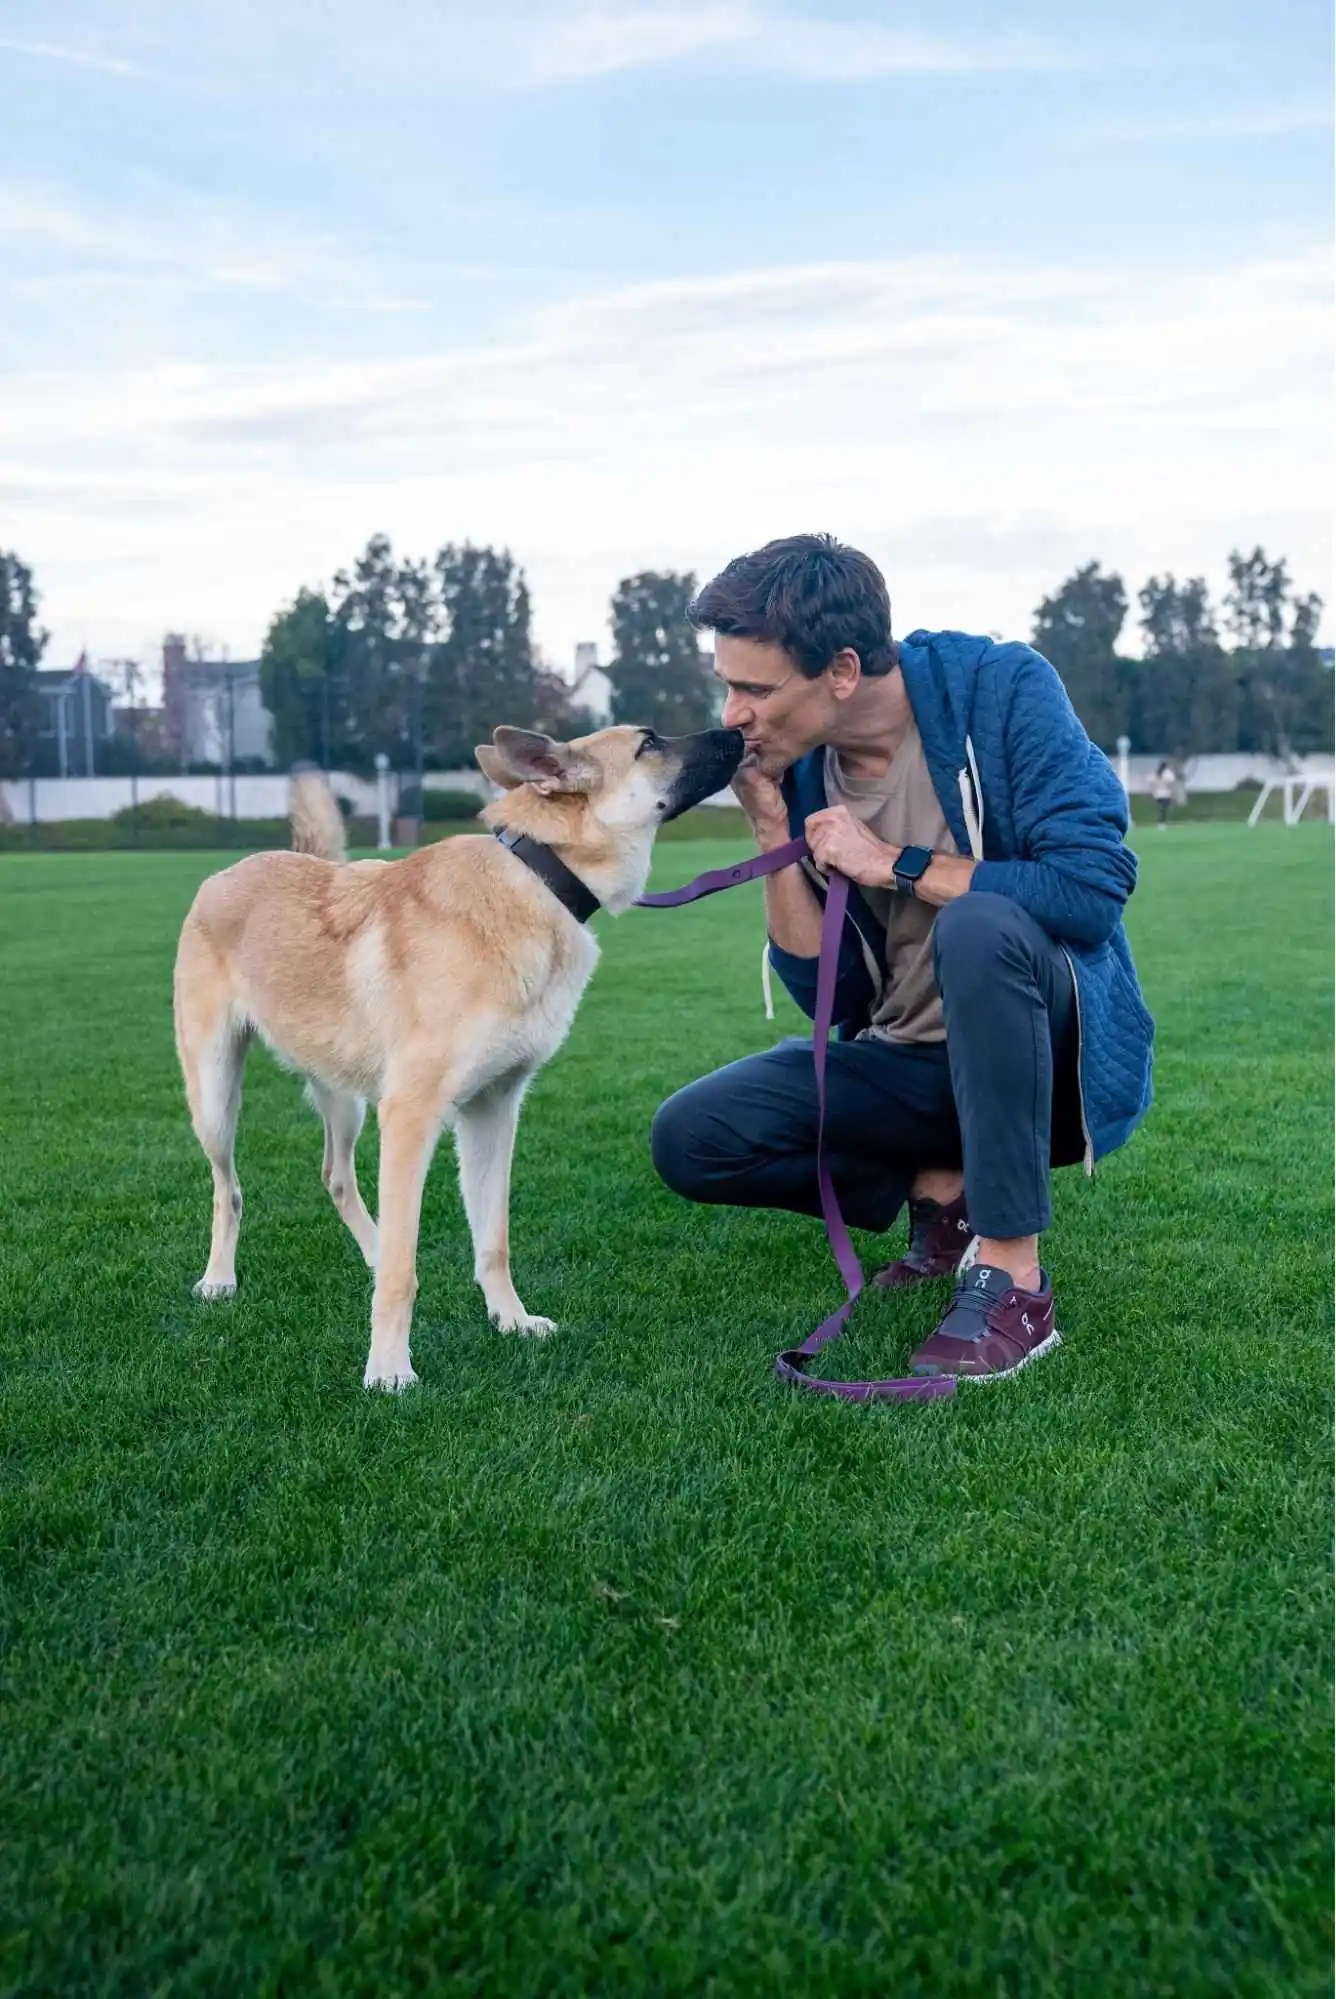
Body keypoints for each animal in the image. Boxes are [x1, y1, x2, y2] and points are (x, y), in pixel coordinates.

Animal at [173, 724, 744, 1387]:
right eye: (649, 742)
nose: (737, 730)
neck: (538, 878)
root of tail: (235, 870)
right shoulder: (411, 1114)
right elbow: (405, 1271)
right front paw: (388, 1369)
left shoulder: (492, 1111)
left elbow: (492, 1240)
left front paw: (511, 1321)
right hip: (216, 1097)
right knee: (228, 1190)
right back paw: (220, 1278)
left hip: (343, 1098)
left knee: (337, 1177)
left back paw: (369, 1250)